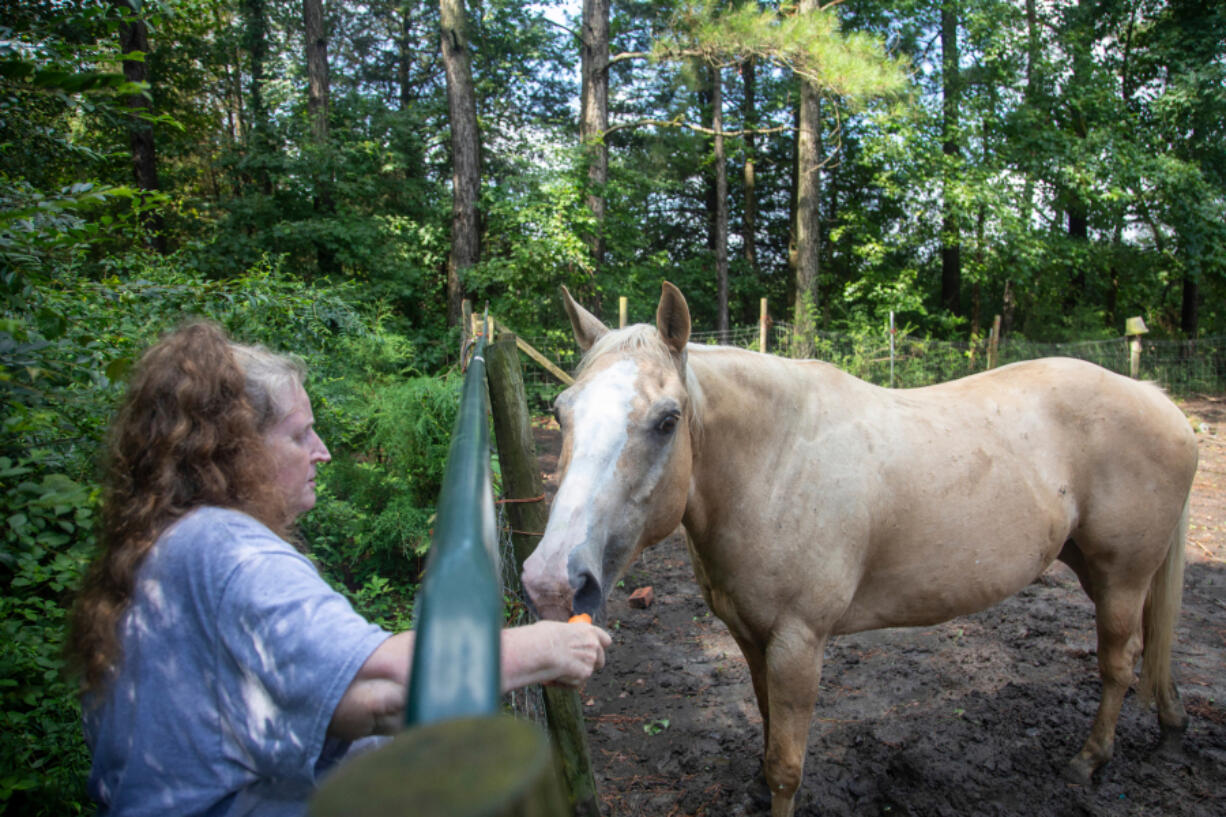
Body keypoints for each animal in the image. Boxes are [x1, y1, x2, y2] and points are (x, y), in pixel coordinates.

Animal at [524, 282, 1196, 814]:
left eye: (667, 420)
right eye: (560, 412)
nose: (553, 581)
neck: (776, 462)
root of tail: (1157, 398)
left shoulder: (799, 643)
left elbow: (786, 766)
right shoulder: (750, 637)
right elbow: (766, 727)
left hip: (1121, 576)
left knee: (1118, 664)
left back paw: (1089, 760)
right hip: (1096, 566)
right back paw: (1169, 724)